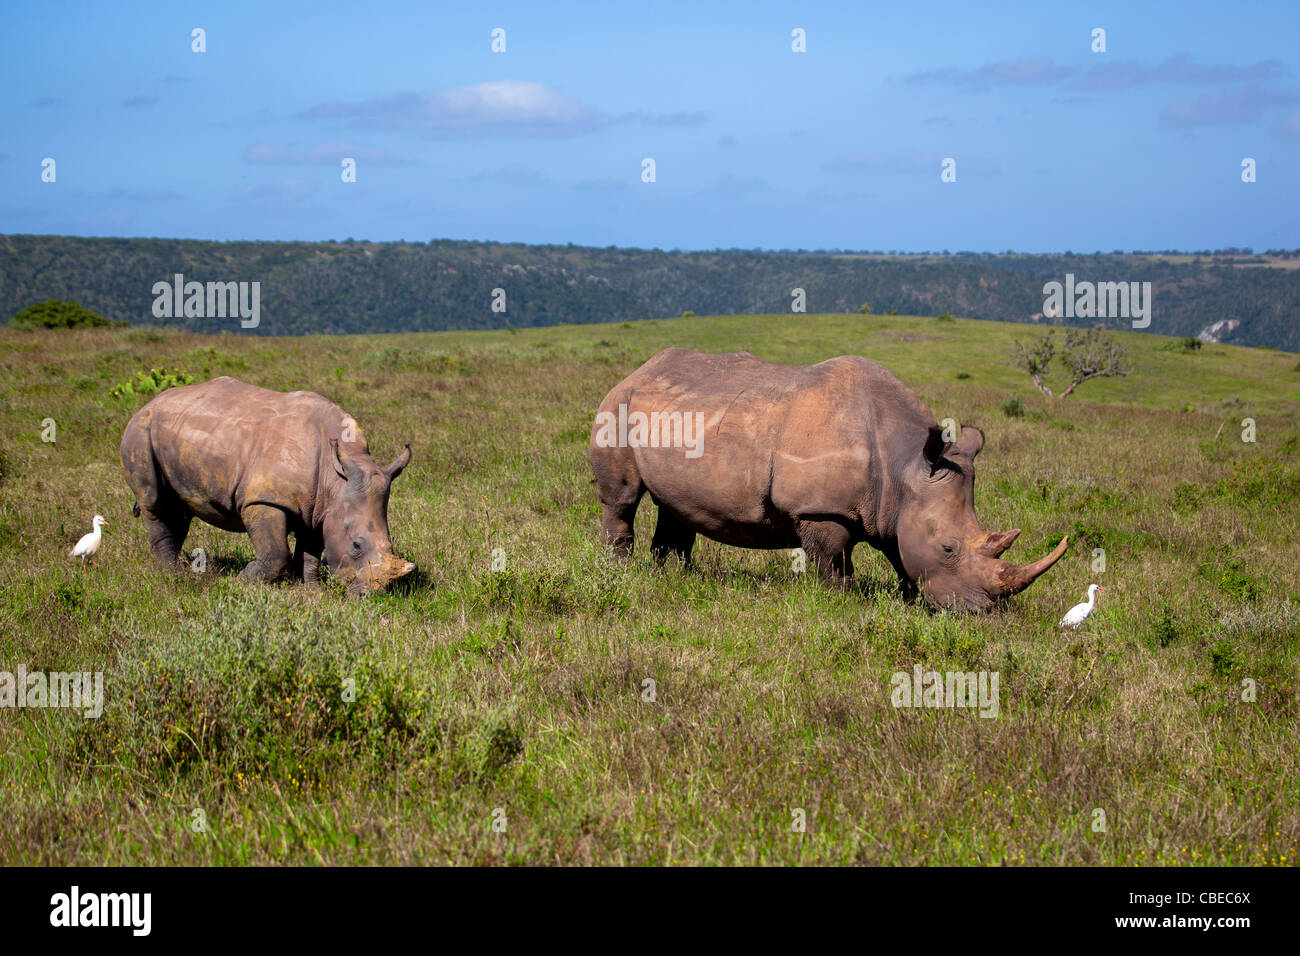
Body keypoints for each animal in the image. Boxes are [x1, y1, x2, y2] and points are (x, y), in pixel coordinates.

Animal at [120, 376, 416, 596]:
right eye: (356, 545)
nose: (370, 595)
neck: (335, 479)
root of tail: (148, 402)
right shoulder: (264, 499)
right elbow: (276, 553)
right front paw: (242, 580)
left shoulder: (320, 507)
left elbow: (310, 551)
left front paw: (313, 591)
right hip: (139, 431)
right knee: (154, 502)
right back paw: (173, 574)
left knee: (178, 509)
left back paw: (178, 567)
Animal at [589, 349, 1067, 610]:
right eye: (948, 548)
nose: (982, 611)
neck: (904, 466)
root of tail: (639, 369)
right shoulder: (820, 509)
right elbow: (834, 561)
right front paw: (844, 600)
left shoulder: (892, 508)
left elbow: (900, 555)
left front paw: (909, 600)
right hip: (618, 406)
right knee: (622, 499)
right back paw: (621, 569)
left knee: (675, 505)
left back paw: (675, 575)